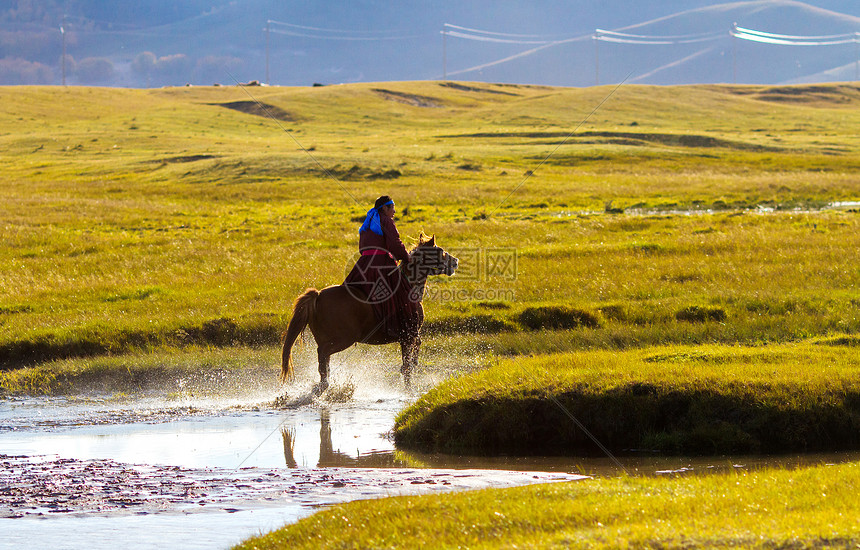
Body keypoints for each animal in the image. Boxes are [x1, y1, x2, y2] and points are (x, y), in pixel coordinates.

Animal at [280, 235, 456, 390]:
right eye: (439, 250)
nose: (455, 261)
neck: (409, 285)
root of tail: (318, 295)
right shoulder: (407, 335)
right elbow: (407, 365)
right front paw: (408, 388)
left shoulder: (411, 335)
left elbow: (415, 349)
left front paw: (414, 365)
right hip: (344, 339)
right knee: (323, 354)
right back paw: (324, 385)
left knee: (324, 360)